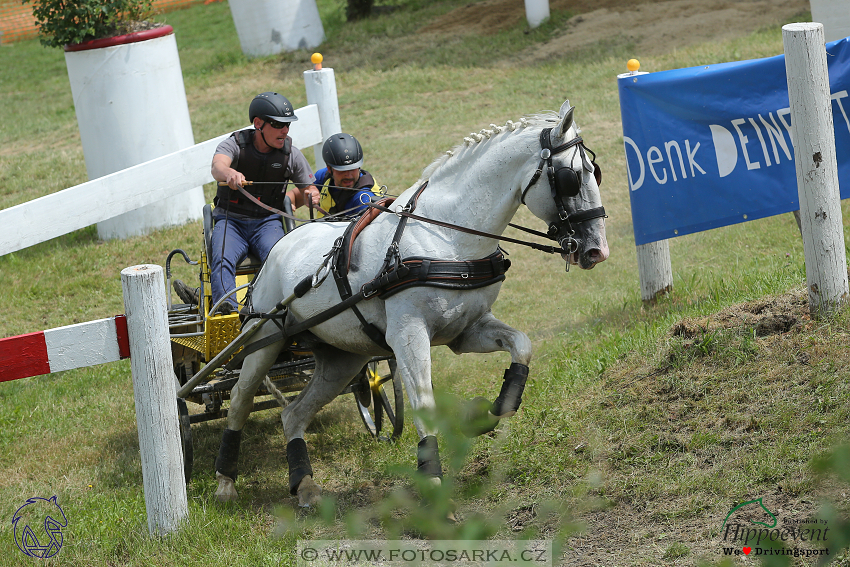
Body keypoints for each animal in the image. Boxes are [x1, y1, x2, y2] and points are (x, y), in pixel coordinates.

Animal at [214, 101, 608, 506]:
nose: (597, 249)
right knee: (240, 398)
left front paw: (485, 414)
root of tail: (279, 248)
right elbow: (423, 402)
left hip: (342, 358)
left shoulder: (466, 331)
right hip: (263, 341)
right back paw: (225, 482)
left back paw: (304, 484)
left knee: (293, 414)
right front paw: (432, 480)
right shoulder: (408, 335)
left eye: (596, 172)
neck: (446, 236)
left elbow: (522, 347)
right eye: (571, 178)